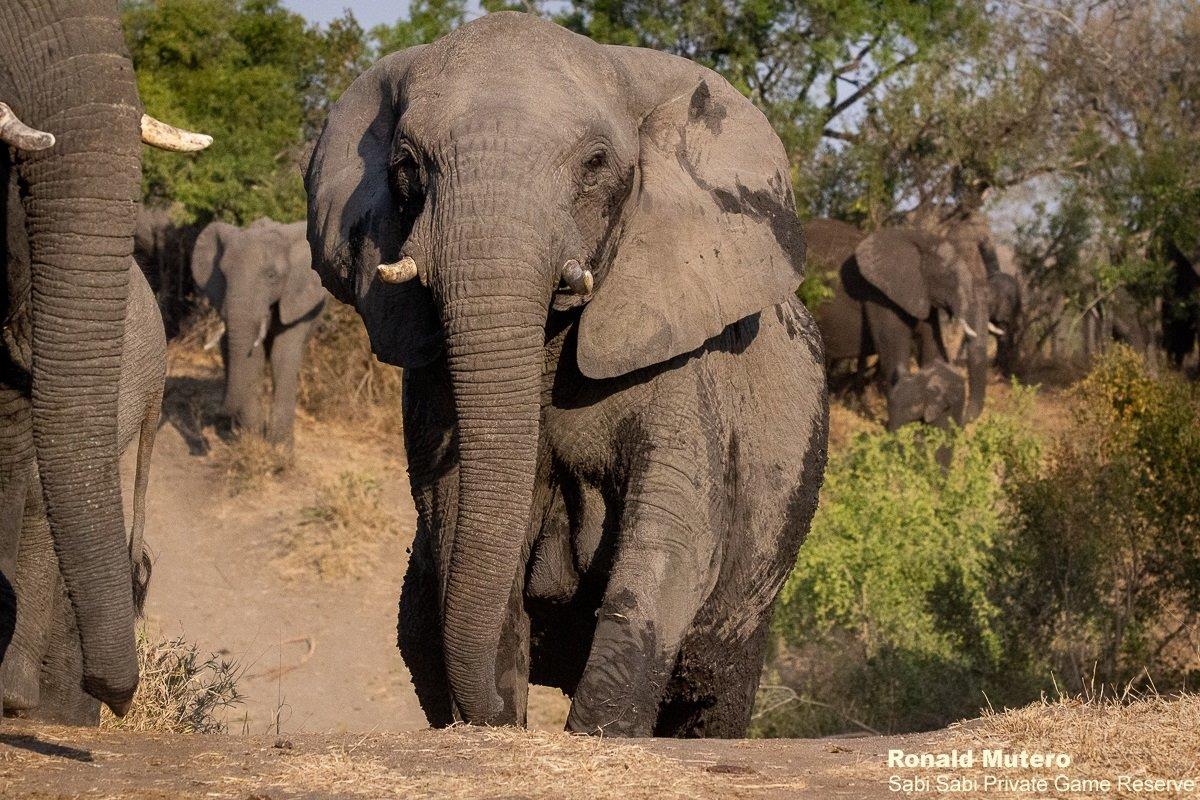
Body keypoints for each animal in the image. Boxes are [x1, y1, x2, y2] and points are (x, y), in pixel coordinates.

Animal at [190, 218, 326, 449]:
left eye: (272, 276)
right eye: (223, 275)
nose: (217, 413)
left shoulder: (297, 299)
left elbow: (282, 355)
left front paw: (279, 450)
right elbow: (253, 358)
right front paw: (252, 439)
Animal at [305, 12, 828, 737]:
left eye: (595, 163)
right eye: (407, 165)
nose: (494, 718)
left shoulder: (689, 374)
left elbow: (672, 538)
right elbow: (458, 518)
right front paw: (497, 720)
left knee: (717, 693)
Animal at [806, 217, 991, 425]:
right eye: (951, 278)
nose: (966, 418)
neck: (922, 239)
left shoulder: (922, 293)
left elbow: (932, 352)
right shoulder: (879, 296)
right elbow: (895, 354)